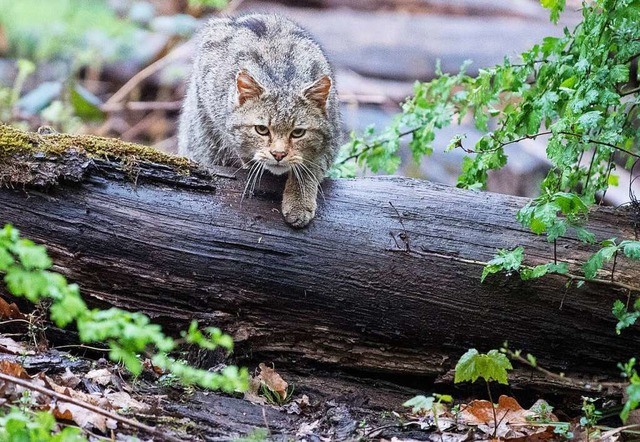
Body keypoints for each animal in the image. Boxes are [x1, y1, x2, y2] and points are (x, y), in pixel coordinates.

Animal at [178, 13, 342, 228]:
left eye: (298, 133)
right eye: (261, 130)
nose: (279, 154)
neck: (282, 78)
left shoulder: (332, 138)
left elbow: (310, 166)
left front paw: (299, 201)